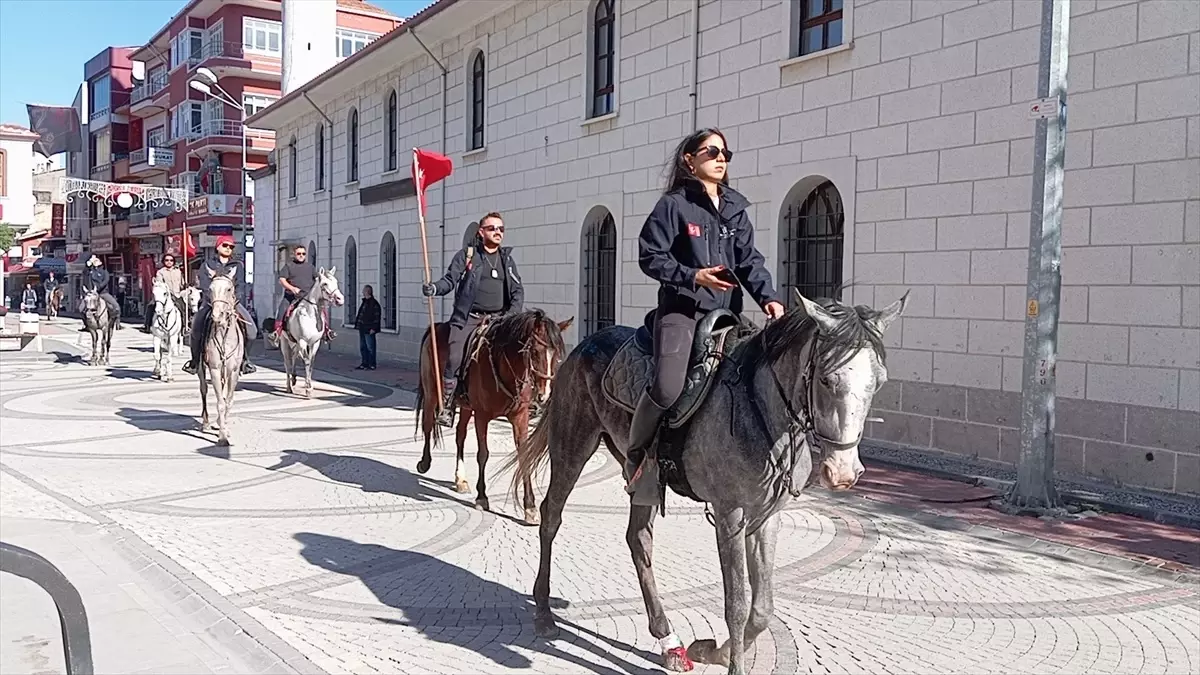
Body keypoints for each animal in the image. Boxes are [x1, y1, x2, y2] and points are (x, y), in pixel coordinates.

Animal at [199, 270, 243, 444]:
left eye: (229, 289)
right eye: (210, 289)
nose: (217, 316)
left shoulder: (234, 371)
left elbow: (228, 401)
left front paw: (224, 427)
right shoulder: (215, 370)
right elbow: (220, 403)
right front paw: (222, 436)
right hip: (200, 367)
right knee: (203, 389)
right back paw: (206, 422)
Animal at [277, 265, 343, 396]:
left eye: (336, 282)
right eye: (325, 284)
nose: (340, 299)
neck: (310, 315)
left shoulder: (314, 343)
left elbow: (311, 363)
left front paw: (309, 385)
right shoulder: (303, 342)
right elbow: (307, 361)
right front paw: (308, 388)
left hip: (296, 343)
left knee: (294, 358)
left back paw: (294, 379)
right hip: (285, 343)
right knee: (287, 363)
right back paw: (289, 386)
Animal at [417, 307, 571, 516]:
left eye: (556, 355)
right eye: (535, 352)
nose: (544, 394)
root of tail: (437, 326)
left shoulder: (520, 417)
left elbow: (524, 455)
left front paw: (530, 506)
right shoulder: (482, 416)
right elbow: (483, 454)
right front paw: (482, 497)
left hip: (466, 407)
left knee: (460, 435)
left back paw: (460, 479)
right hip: (432, 393)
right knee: (427, 425)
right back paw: (424, 463)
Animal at [506, 289, 907, 672]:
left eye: (879, 382)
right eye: (826, 378)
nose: (843, 473)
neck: (759, 408)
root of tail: (584, 345)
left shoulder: (767, 516)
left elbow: (762, 608)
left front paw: (712, 650)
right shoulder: (730, 515)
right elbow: (737, 605)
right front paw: (730, 662)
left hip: (643, 477)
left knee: (638, 539)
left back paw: (668, 641)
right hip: (572, 447)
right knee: (552, 517)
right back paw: (544, 612)